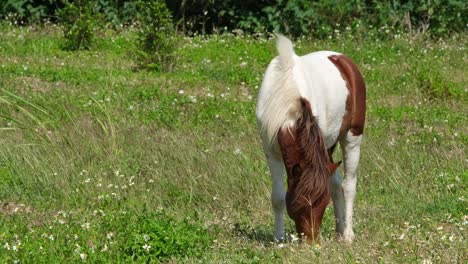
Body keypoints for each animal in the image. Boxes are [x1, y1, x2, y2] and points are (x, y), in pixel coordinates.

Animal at [256, 35, 366, 243]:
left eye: (322, 201)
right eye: (298, 202)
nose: (311, 239)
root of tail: (344, 61)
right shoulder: (271, 153)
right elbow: (277, 197)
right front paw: (278, 238)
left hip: (352, 136)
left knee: (349, 185)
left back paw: (348, 234)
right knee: (335, 182)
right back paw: (340, 230)